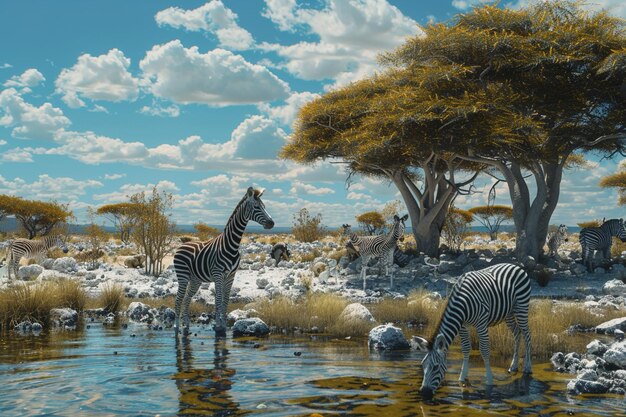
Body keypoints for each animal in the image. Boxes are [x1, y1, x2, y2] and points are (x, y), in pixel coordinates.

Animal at [174, 187, 274, 334]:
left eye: (264, 207)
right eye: (256, 207)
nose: (271, 223)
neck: (232, 244)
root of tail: (181, 245)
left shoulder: (231, 275)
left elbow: (226, 300)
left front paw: (224, 325)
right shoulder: (218, 274)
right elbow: (218, 300)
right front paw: (218, 325)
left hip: (195, 279)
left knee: (187, 298)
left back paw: (186, 324)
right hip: (182, 276)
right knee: (178, 299)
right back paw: (176, 326)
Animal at [416, 264, 528, 396]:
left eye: (436, 367)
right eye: (423, 365)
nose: (424, 392)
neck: (462, 303)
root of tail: (515, 265)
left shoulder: (481, 325)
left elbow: (484, 351)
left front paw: (489, 380)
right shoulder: (463, 326)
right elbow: (465, 349)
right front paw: (462, 378)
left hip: (521, 307)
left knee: (527, 335)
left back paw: (528, 367)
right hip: (508, 313)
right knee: (517, 332)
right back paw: (513, 366)